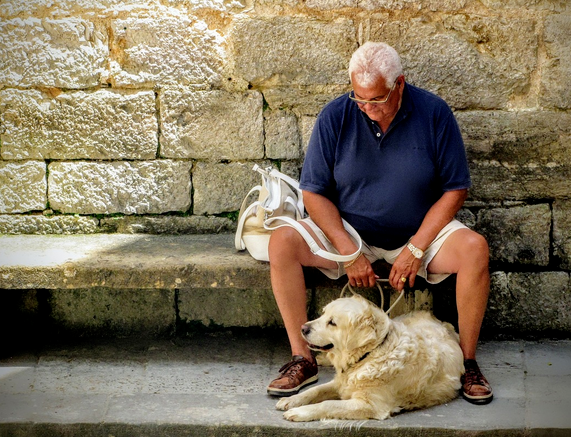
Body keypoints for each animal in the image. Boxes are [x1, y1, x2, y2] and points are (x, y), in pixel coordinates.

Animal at [278, 294, 464, 420]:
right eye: (323, 314)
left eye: (332, 322)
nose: (303, 328)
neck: (369, 355)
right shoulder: (340, 383)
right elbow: (314, 390)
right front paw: (291, 400)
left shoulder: (370, 405)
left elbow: (328, 404)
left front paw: (299, 412)